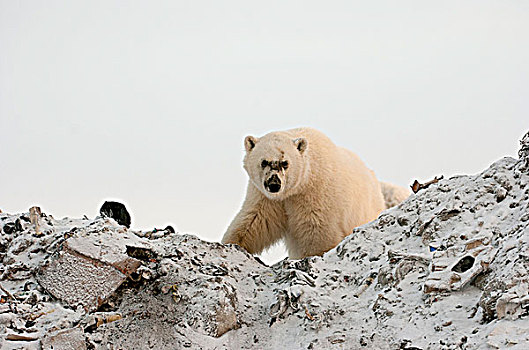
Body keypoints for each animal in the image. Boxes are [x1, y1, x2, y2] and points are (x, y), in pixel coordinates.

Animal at [221, 127, 406, 258]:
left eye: (285, 163)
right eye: (264, 162)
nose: (274, 184)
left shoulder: (315, 192)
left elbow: (316, 229)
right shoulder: (265, 196)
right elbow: (256, 220)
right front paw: (232, 243)